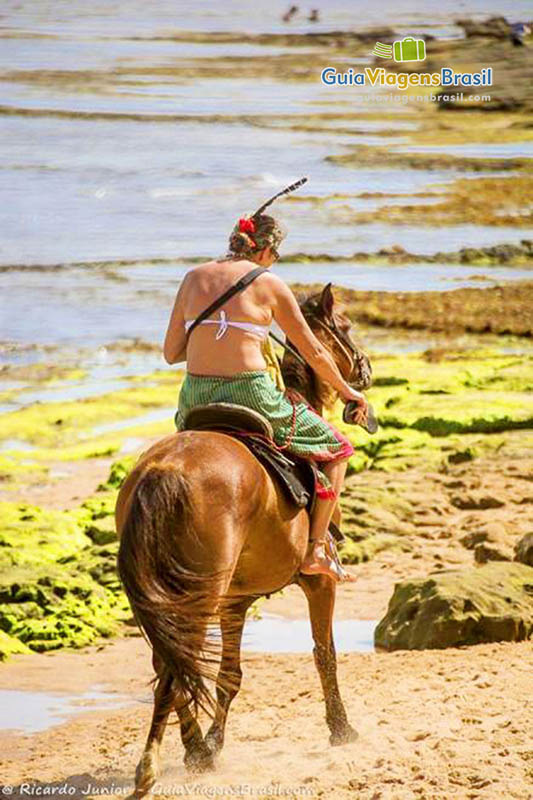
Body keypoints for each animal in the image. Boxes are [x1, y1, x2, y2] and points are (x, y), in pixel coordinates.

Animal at [116, 282, 372, 792]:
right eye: (346, 326)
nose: (365, 370)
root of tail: (162, 470)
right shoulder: (319, 585)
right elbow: (325, 655)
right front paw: (341, 729)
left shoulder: (235, 601)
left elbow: (228, 676)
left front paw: (214, 744)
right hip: (197, 593)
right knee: (174, 668)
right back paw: (150, 767)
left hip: (160, 595)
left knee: (172, 663)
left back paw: (193, 749)